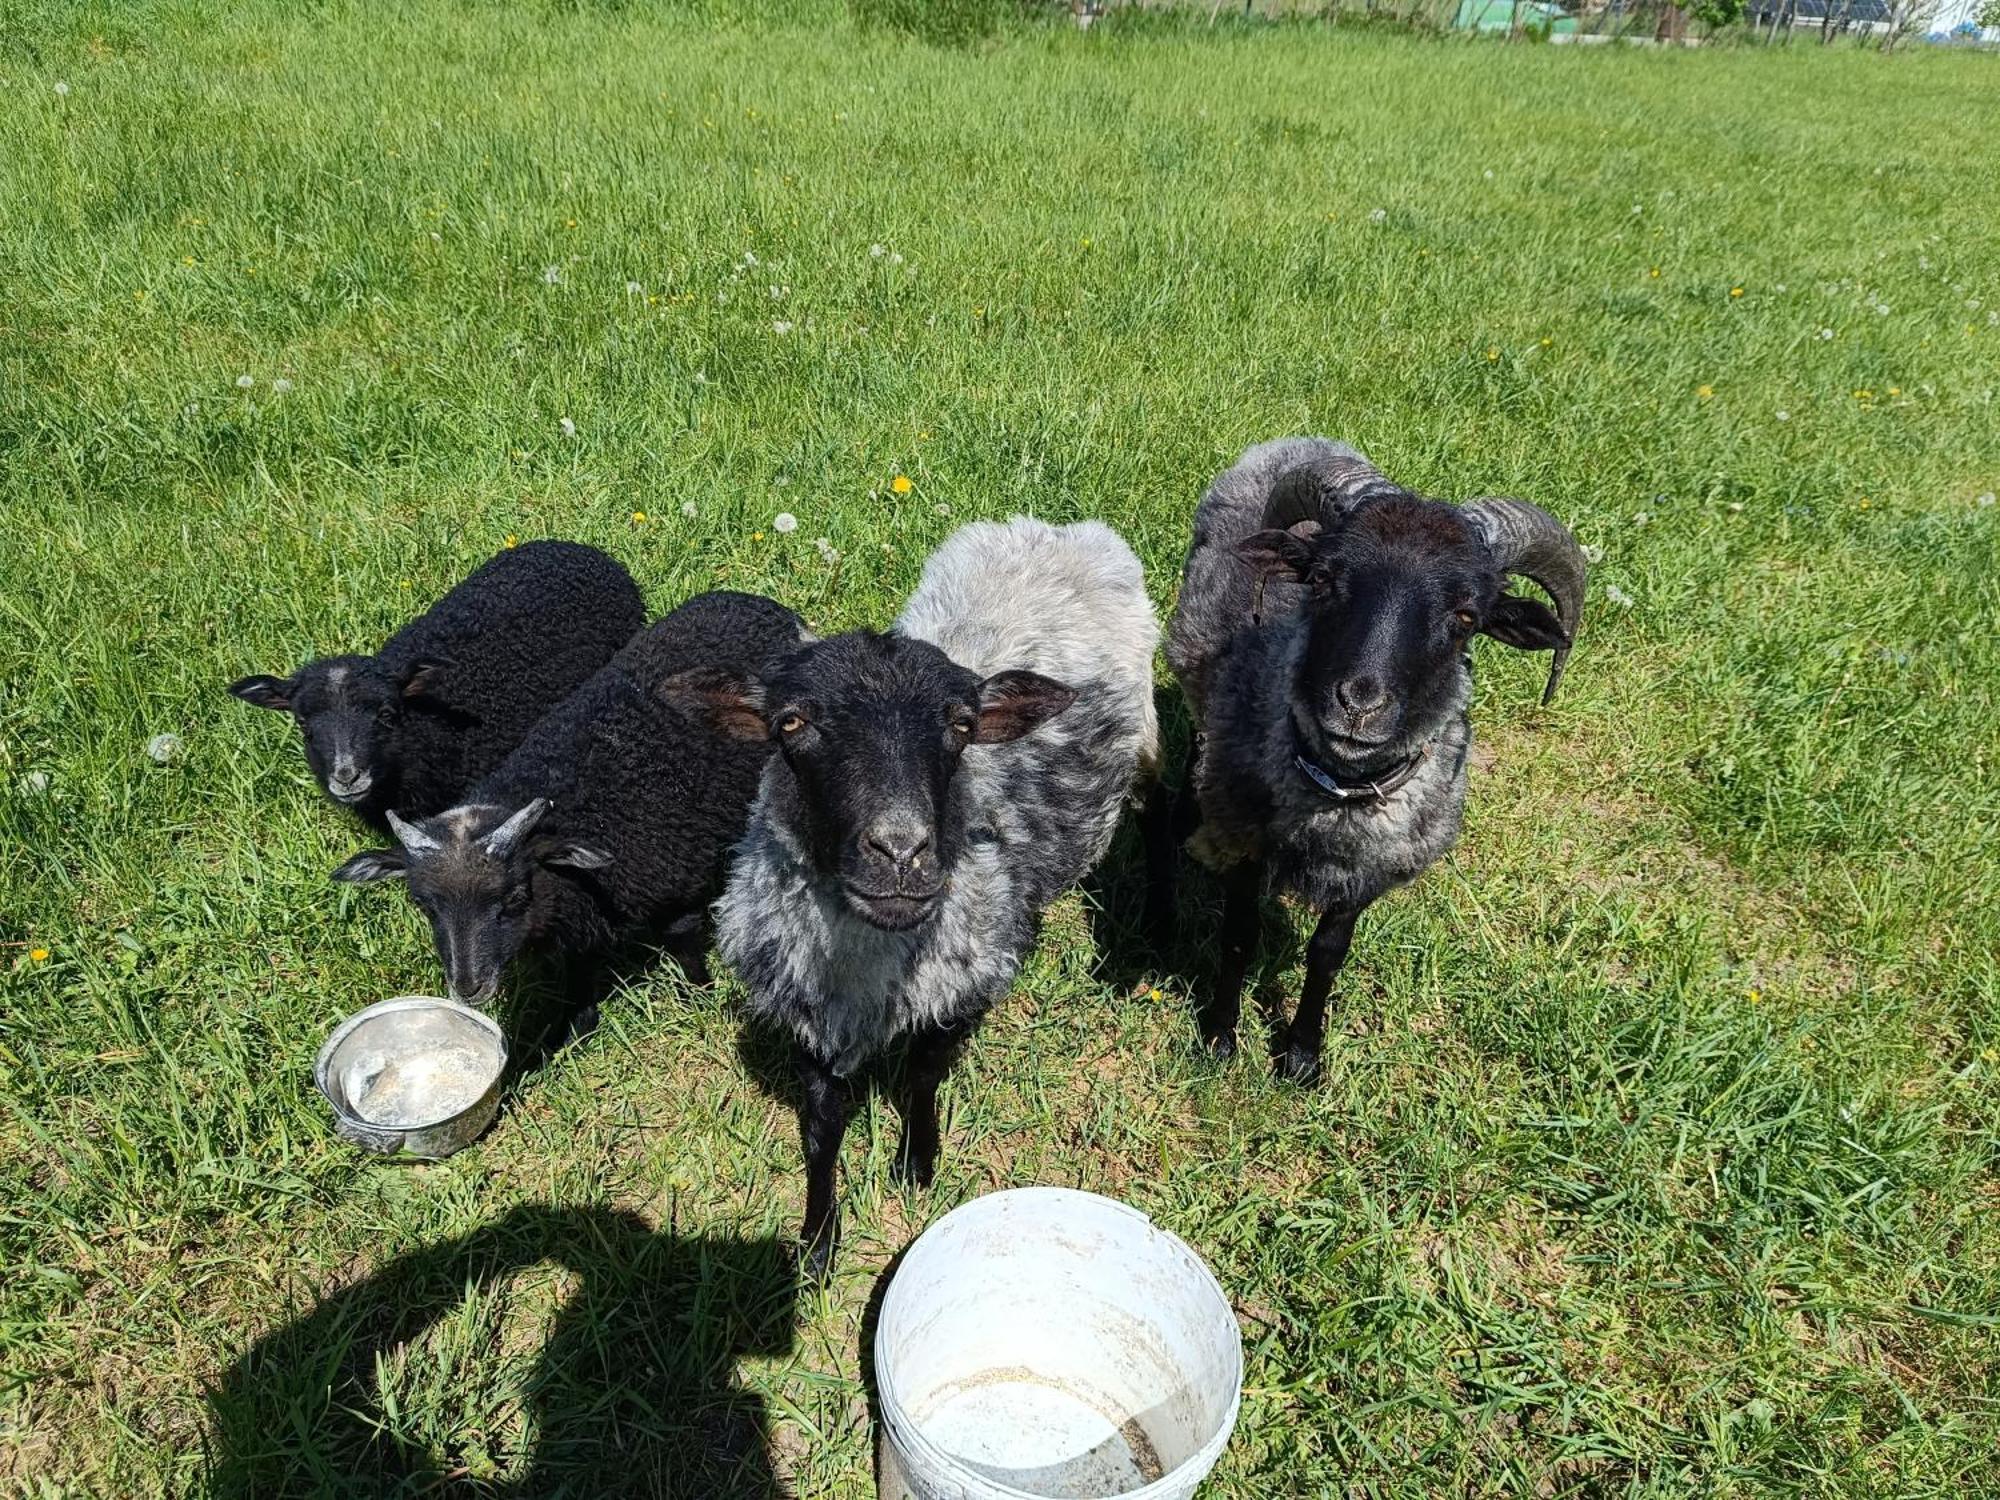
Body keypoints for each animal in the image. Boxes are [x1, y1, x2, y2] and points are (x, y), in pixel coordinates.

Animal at [332, 592, 808, 1032]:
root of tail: (751, 601)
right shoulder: (577, 919)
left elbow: (685, 948)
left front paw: (699, 997)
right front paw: (575, 1027)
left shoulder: (678, 887)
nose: (468, 988)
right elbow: (577, 974)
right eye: (424, 905)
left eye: (513, 897)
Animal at [672, 516, 1160, 1272]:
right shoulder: (808, 1009)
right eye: (790, 724)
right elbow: (820, 1128)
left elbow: (924, 1076)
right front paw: (817, 1242)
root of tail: (1055, 528)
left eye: (962, 725)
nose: (901, 854)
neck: (867, 961)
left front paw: (917, 1162)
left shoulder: (960, 989)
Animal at [1160, 434, 1592, 1080]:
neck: (1338, 794)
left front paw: (1302, 1056)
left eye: (1467, 616)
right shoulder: (1249, 839)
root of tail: (1304, 438)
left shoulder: (1370, 872)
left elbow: (1327, 954)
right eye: (1321, 580)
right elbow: (1239, 934)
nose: (1358, 705)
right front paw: (1218, 1038)